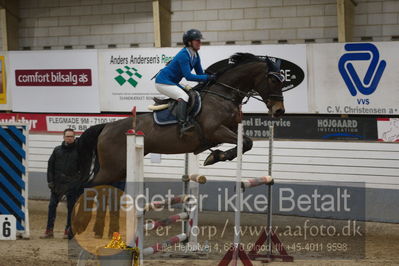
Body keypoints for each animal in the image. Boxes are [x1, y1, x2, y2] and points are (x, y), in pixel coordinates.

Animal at [77, 52, 284, 187]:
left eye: (283, 80)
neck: (223, 95)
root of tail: (106, 127)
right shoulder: (216, 131)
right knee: (85, 187)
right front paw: (215, 157)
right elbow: (246, 142)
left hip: (119, 169)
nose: (279, 110)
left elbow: (247, 142)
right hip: (111, 169)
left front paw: (215, 156)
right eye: (273, 80)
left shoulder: (231, 129)